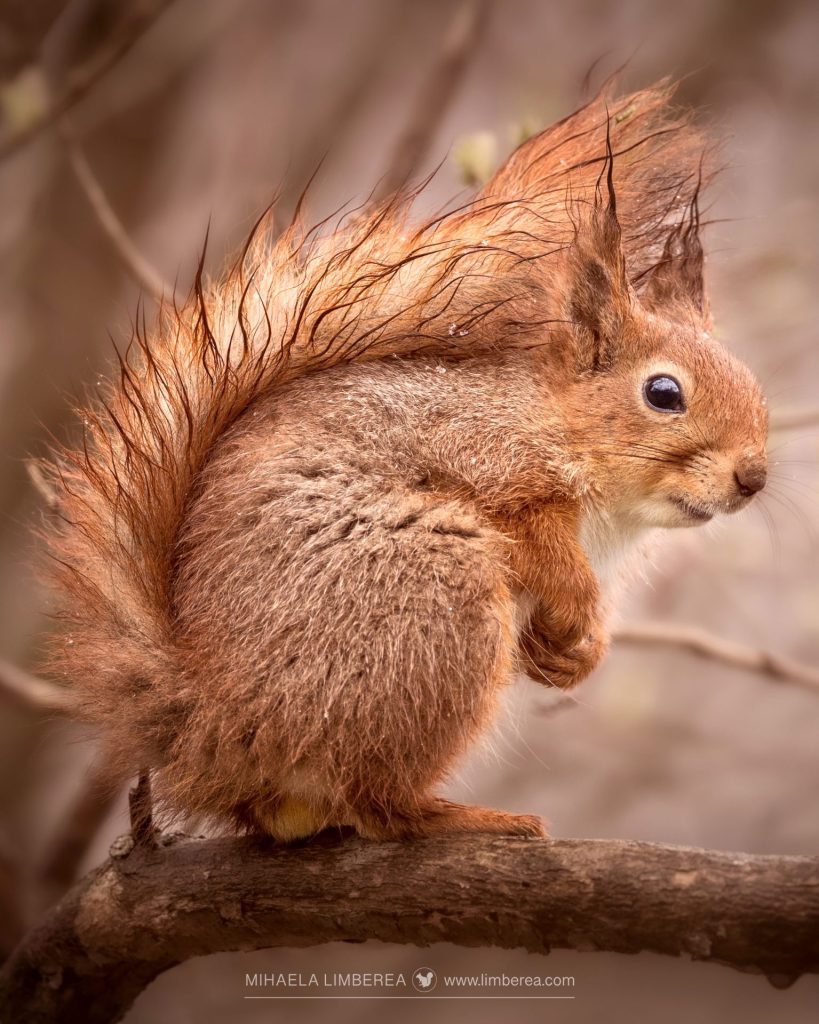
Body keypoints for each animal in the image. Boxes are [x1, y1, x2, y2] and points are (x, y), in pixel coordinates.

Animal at [41, 81, 768, 842]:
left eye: (753, 384)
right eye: (663, 393)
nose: (753, 478)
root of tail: (217, 729)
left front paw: (575, 654)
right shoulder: (491, 463)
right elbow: (538, 539)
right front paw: (574, 605)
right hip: (430, 596)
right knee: (379, 803)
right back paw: (466, 816)